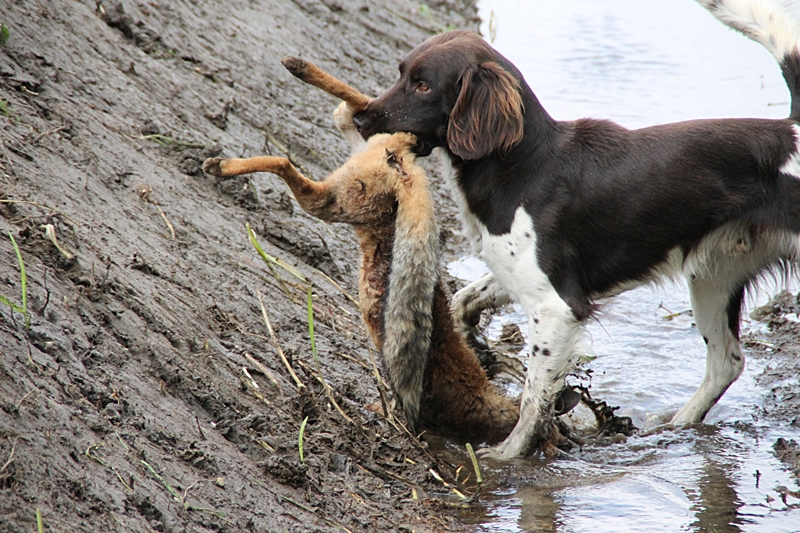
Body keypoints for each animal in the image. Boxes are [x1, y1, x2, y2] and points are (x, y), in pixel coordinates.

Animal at [352, 0, 800, 458]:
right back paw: (675, 425)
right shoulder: (523, 275)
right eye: (401, 73)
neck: (521, 165)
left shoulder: (557, 306)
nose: (359, 117)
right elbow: (463, 300)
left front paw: (510, 453)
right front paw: (477, 349)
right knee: (727, 362)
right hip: (713, 277)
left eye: (423, 86)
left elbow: (534, 396)